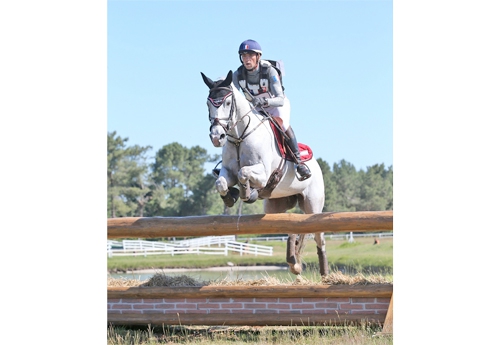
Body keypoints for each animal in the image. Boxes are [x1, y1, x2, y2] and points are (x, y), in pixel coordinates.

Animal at [201, 69, 330, 274]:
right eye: (208, 103)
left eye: (227, 103)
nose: (216, 137)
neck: (239, 137)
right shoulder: (227, 172)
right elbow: (221, 182)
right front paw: (231, 196)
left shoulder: (262, 174)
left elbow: (244, 172)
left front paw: (247, 193)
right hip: (274, 207)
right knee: (294, 227)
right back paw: (294, 261)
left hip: (313, 204)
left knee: (318, 237)